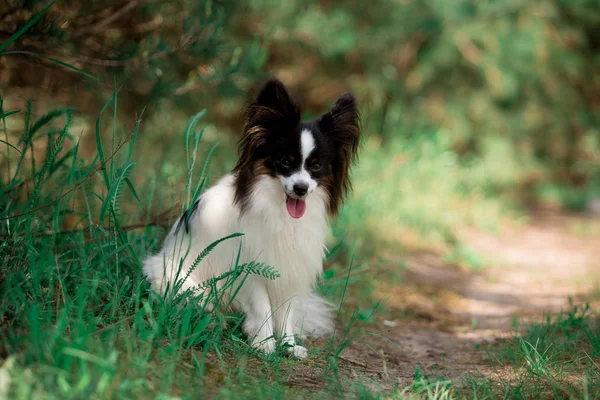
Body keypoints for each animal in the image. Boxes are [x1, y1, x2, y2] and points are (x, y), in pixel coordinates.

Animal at [143, 79, 358, 360]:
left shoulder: (289, 266)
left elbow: (286, 312)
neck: (280, 210)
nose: (300, 188)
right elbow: (262, 305)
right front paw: (264, 342)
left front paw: (288, 345)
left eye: (317, 166)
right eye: (285, 161)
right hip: (176, 278)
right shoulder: (252, 266)